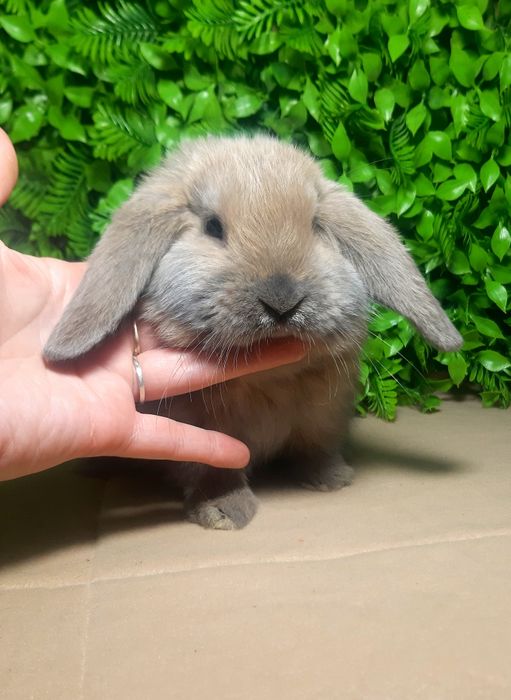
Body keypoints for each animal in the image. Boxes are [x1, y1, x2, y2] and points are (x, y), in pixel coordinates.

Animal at [44, 135, 462, 530]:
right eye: (212, 227)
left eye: (315, 225)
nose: (282, 299)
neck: (269, 379)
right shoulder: (204, 438)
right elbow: (211, 471)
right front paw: (223, 512)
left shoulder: (324, 419)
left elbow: (317, 450)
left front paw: (332, 479)